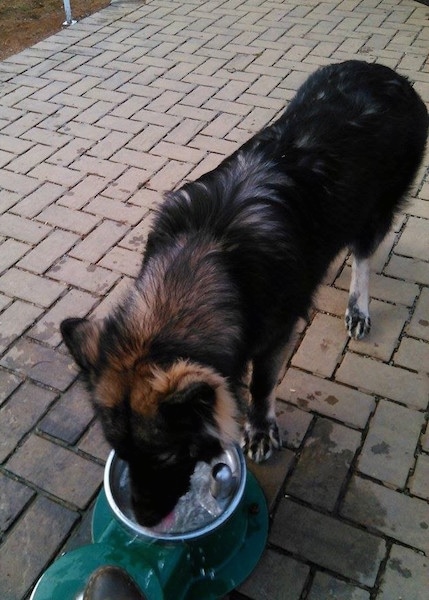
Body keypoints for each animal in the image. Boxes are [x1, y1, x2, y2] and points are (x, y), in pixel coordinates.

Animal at [61, 58, 426, 524]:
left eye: (165, 457)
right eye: (121, 454)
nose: (142, 521)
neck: (211, 252)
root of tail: (386, 73)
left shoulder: (275, 336)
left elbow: (262, 386)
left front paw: (260, 428)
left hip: (374, 210)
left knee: (363, 255)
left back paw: (358, 307)